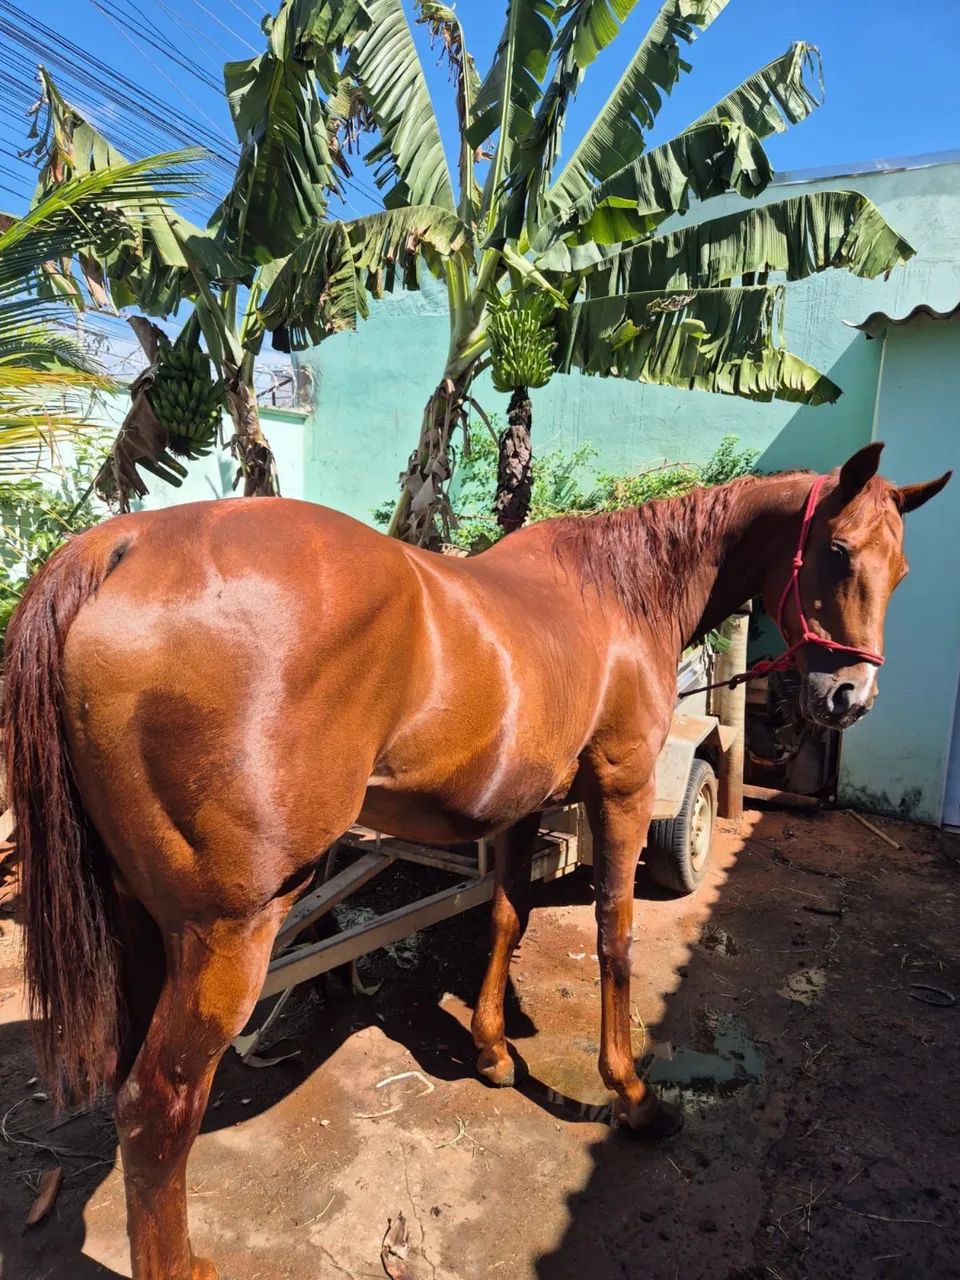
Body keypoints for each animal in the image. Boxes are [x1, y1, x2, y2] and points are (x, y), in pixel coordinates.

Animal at [2, 441, 948, 1280]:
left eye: (903, 572)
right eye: (837, 551)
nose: (849, 698)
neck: (616, 594)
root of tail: (122, 546)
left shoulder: (525, 806)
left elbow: (505, 913)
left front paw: (492, 1051)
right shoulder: (622, 785)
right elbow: (614, 934)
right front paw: (633, 1096)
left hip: (142, 922)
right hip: (228, 933)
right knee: (158, 1110)